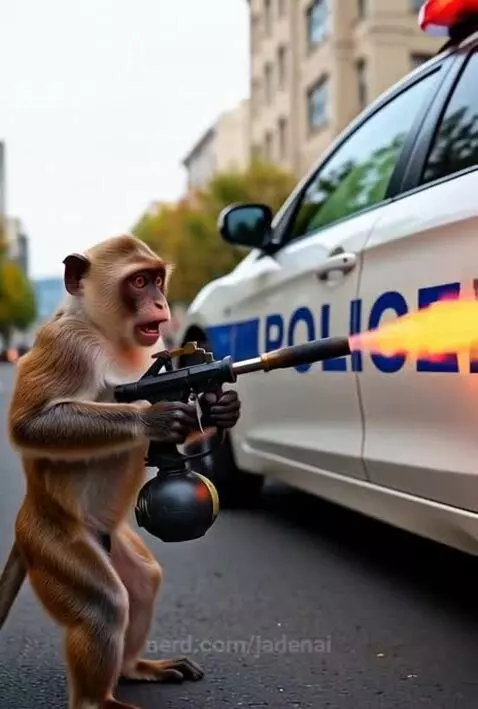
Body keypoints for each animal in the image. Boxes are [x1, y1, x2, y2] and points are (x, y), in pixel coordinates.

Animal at [0, 234, 241, 709]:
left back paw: (134, 668)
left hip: (113, 543)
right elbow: (29, 424)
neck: (106, 334)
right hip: (54, 543)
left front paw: (221, 408)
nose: (161, 302)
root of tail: (26, 515)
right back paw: (99, 699)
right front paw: (155, 419)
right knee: (105, 603)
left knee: (143, 582)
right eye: (139, 281)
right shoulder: (65, 344)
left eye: (158, 279)